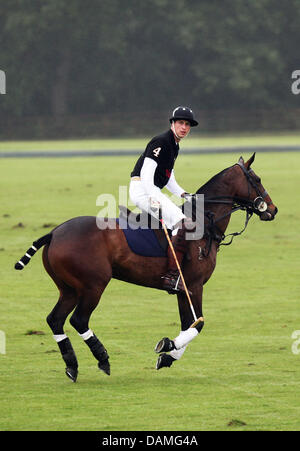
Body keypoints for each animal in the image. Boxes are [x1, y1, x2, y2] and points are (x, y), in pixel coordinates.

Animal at [14, 154, 276, 382]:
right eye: (257, 179)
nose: (273, 210)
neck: (205, 223)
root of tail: (53, 233)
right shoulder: (193, 285)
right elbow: (198, 324)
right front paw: (167, 346)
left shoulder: (183, 290)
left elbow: (188, 325)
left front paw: (168, 356)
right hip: (93, 285)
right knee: (79, 320)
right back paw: (102, 358)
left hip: (69, 288)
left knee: (55, 319)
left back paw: (72, 365)